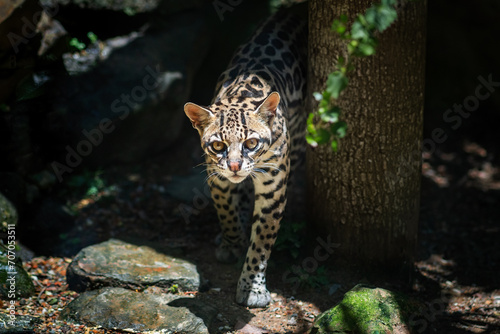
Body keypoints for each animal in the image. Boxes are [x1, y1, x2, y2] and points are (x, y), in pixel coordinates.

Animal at [186, 9, 306, 306]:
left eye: (251, 143)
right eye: (218, 145)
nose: (235, 166)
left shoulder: (273, 188)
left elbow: (262, 240)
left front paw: (253, 287)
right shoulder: (216, 177)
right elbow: (225, 211)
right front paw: (231, 243)